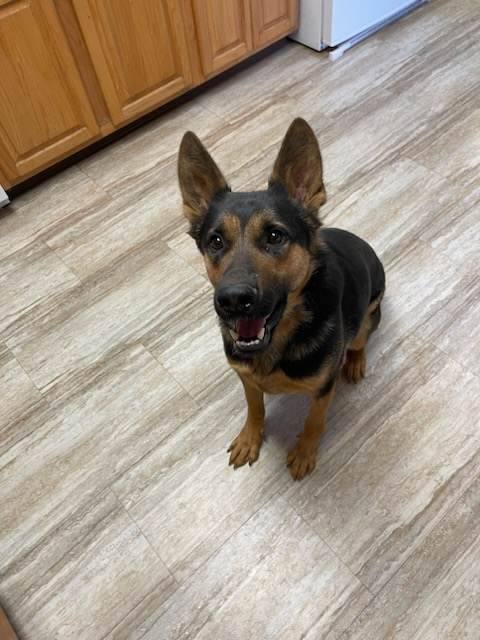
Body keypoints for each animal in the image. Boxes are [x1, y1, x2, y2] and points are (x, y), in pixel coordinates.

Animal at [178, 118, 385, 480]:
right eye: (215, 241)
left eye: (275, 236)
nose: (233, 300)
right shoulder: (246, 378)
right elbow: (254, 407)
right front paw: (251, 437)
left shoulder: (323, 388)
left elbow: (314, 421)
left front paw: (303, 452)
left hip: (367, 315)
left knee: (361, 339)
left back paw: (355, 361)